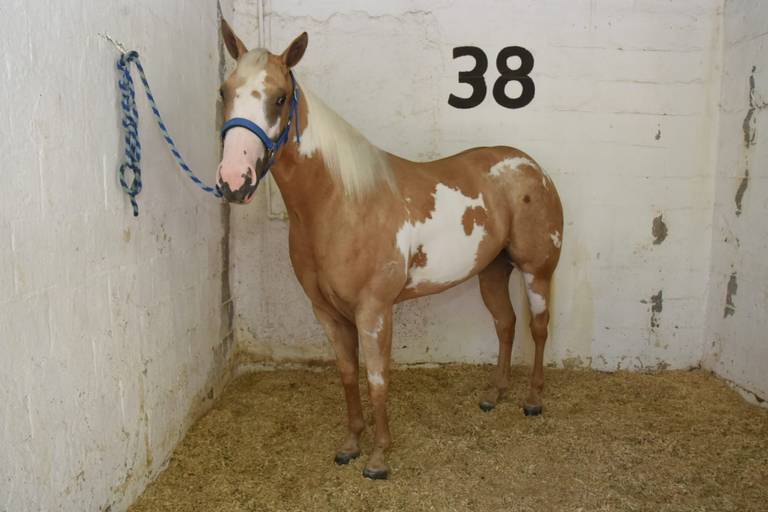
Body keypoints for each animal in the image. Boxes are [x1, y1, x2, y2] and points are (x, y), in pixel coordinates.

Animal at [216, 19, 564, 480]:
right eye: (224, 91)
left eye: (280, 97)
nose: (234, 179)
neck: (341, 202)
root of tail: (531, 167)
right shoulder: (327, 312)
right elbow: (349, 374)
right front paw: (351, 444)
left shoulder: (374, 309)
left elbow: (378, 378)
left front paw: (379, 458)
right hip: (491, 270)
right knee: (505, 325)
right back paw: (494, 394)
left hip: (536, 270)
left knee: (538, 328)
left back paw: (533, 400)